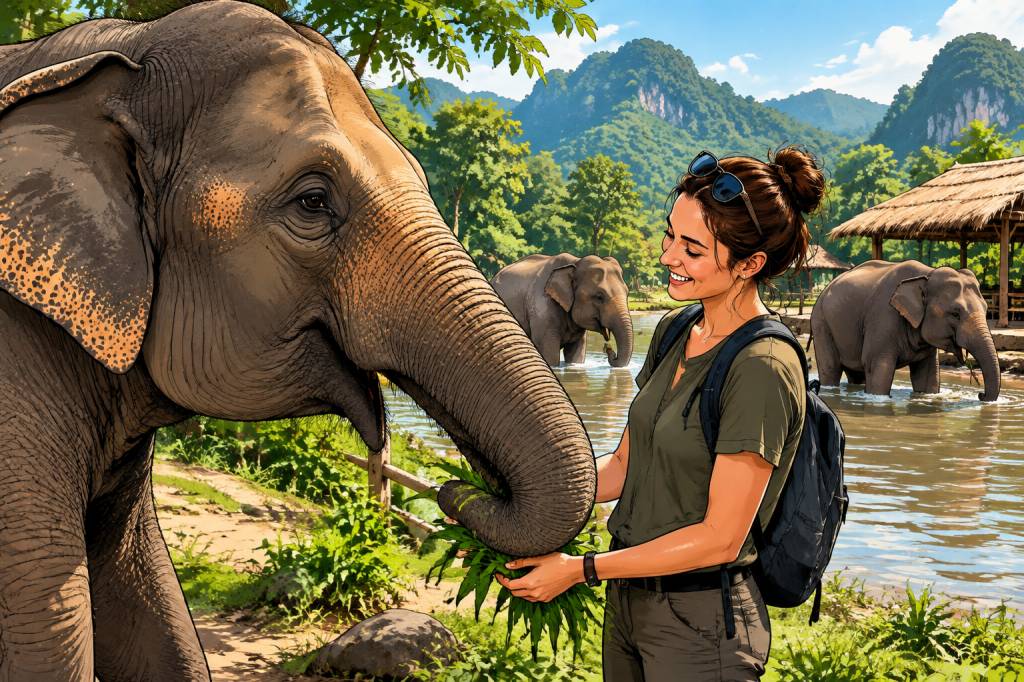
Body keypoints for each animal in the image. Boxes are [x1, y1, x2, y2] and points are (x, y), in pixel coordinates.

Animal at [490, 253, 634, 367]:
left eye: (627, 293)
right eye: (599, 297)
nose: (609, 349)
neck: (575, 262)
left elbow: (576, 352)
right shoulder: (543, 308)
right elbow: (549, 353)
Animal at [810, 259, 1000, 401]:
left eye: (986, 310)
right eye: (955, 314)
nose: (980, 394)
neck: (927, 274)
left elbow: (927, 375)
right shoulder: (882, 318)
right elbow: (877, 366)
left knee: (856, 374)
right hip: (821, 322)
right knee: (831, 368)